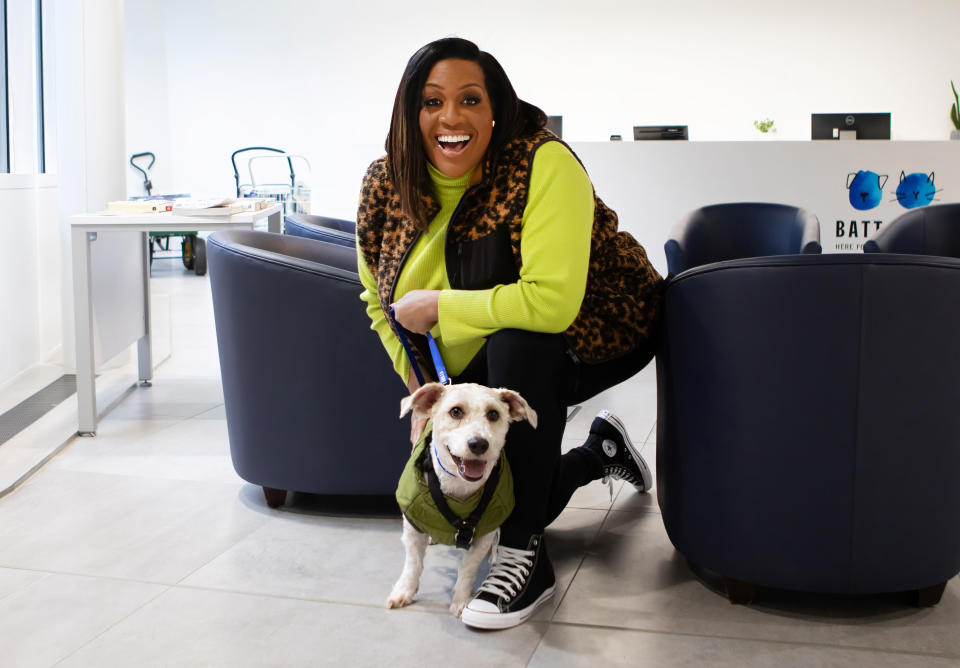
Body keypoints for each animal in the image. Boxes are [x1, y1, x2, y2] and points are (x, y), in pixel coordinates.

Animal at [390, 380, 540, 616]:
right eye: (456, 411)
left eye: (494, 414)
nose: (478, 443)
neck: (459, 489)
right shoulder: (413, 527)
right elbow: (413, 564)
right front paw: (403, 591)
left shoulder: (484, 533)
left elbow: (467, 568)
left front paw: (461, 600)